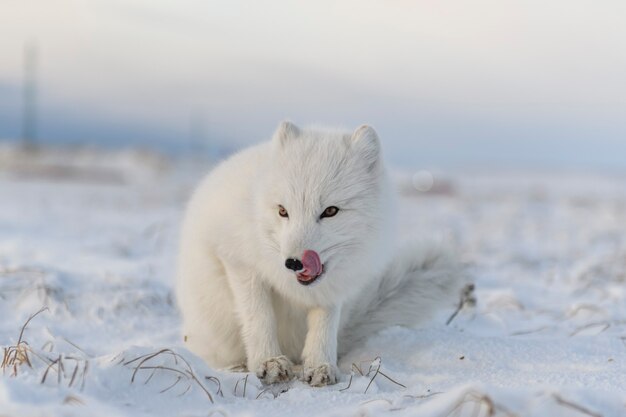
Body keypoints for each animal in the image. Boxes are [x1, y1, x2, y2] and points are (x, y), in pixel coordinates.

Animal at [176, 122, 464, 386]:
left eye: (330, 211)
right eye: (283, 211)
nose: (293, 263)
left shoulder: (334, 287)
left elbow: (324, 325)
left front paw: (320, 366)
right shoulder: (238, 261)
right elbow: (259, 316)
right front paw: (268, 362)